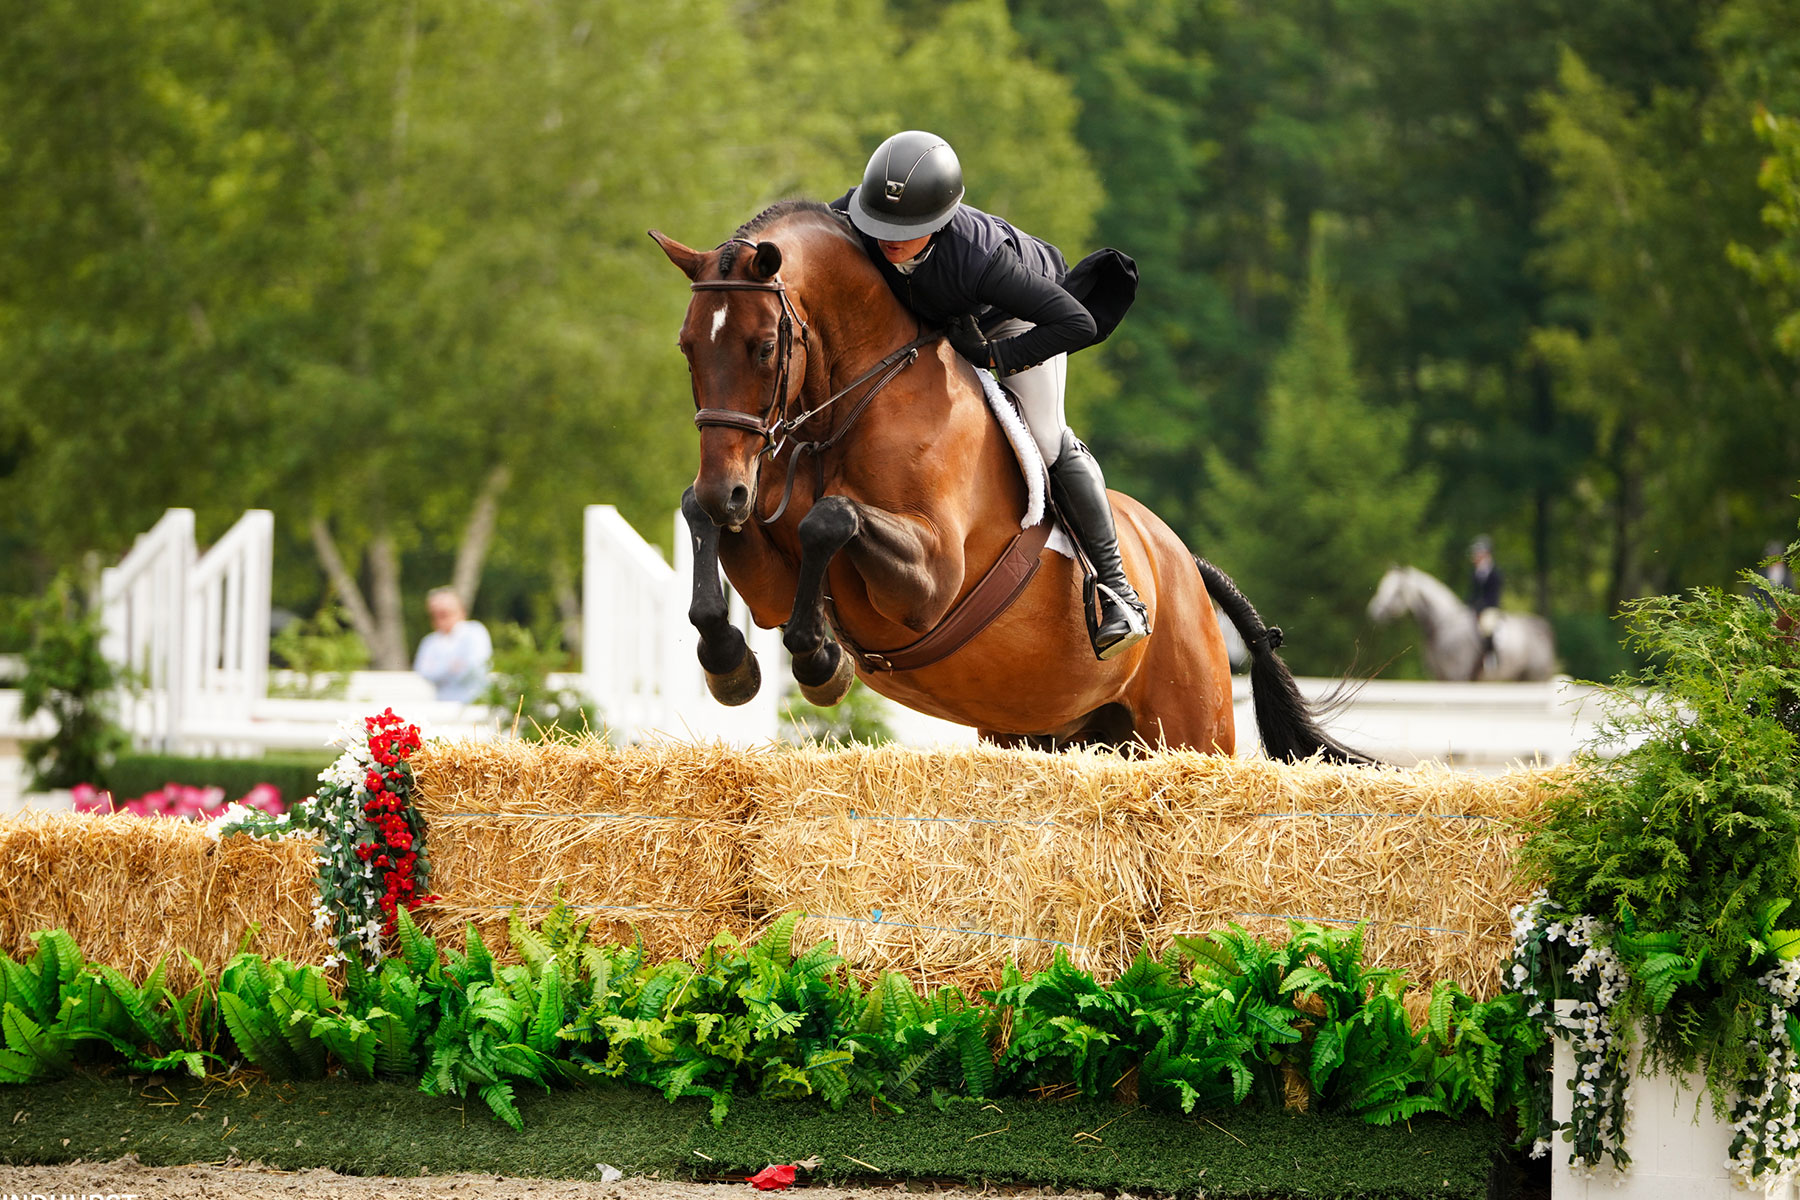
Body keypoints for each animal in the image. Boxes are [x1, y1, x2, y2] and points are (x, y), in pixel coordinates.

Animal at [655, 199, 1353, 759]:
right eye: (688, 347)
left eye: (765, 347)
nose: (729, 490)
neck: (848, 406)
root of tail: (1187, 567)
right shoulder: (770, 575)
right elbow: (703, 519)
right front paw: (728, 663)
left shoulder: (932, 581)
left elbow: (831, 517)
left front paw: (820, 659)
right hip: (1050, 732)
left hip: (1188, 731)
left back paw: (1120, 612)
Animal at [1368, 564, 1555, 680]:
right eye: (1382, 585)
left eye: (1397, 591)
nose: (1374, 612)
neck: (1440, 627)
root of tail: (1543, 626)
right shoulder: (1438, 677)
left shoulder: (1457, 676)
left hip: (1535, 677)